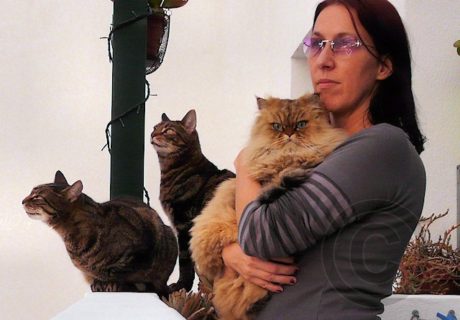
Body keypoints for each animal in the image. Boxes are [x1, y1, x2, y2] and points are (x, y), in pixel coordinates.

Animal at [22, 170, 178, 298]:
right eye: (31, 193)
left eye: (37, 197)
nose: (22, 201)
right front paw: (99, 283)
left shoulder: (142, 248)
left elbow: (120, 272)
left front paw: (112, 282)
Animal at [151, 109, 235, 292]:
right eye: (155, 127)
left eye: (168, 130)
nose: (152, 134)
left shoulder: (183, 224)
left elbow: (184, 261)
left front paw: (181, 286)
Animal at [190, 93, 344, 320]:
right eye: (277, 126)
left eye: (301, 124)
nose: (289, 134)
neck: (287, 158)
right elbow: (271, 188)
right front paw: (290, 176)